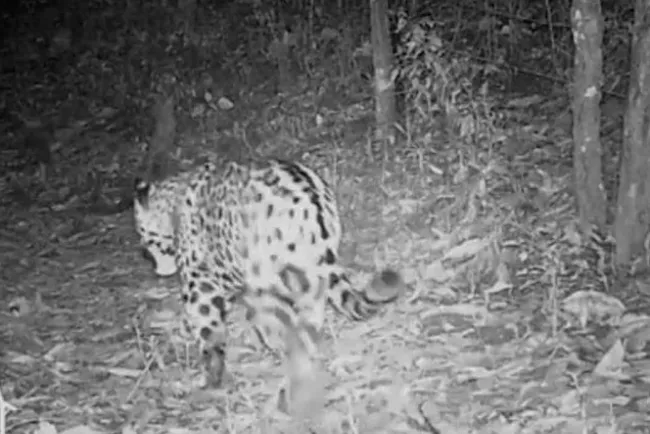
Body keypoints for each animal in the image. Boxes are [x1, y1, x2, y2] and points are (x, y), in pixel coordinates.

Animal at [133, 158, 402, 413]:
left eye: (145, 238)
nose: (157, 267)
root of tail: (312, 207)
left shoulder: (201, 280)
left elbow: (208, 329)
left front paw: (211, 377)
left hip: (265, 276)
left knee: (284, 323)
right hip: (307, 274)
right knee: (308, 318)